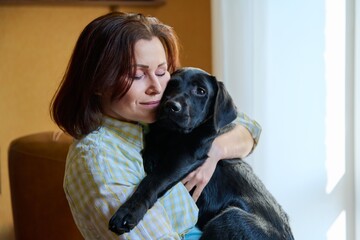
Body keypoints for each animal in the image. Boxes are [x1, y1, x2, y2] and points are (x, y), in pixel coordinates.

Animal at [108, 66, 294, 239]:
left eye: (201, 91)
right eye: (171, 85)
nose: (171, 106)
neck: (175, 135)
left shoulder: (186, 157)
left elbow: (153, 180)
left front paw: (128, 212)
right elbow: (154, 137)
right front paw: (151, 155)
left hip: (230, 218)